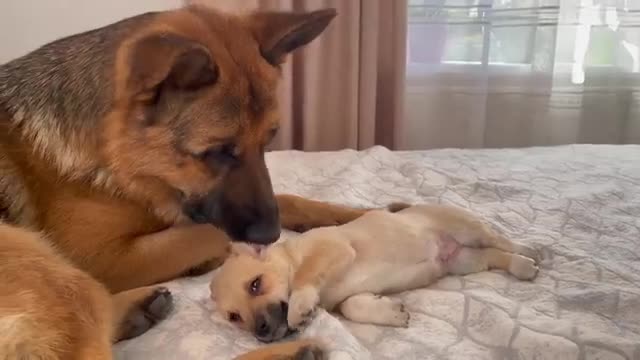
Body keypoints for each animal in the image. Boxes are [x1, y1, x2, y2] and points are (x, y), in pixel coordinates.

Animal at [0, 5, 372, 360]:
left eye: (269, 140)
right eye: (217, 152)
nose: (270, 234)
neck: (116, 156)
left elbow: (289, 200)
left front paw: (353, 215)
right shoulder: (104, 258)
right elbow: (208, 231)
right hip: (49, 263)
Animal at [212, 204, 536, 342]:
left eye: (256, 285)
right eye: (234, 318)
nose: (260, 333)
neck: (292, 257)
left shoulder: (333, 249)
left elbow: (305, 278)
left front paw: (300, 306)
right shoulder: (347, 297)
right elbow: (354, 306)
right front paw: (391, 313)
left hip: (468, 229)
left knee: (501, 240)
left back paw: (530, 252)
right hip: (465, 261)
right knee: (496, 255)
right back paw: (521, 266)